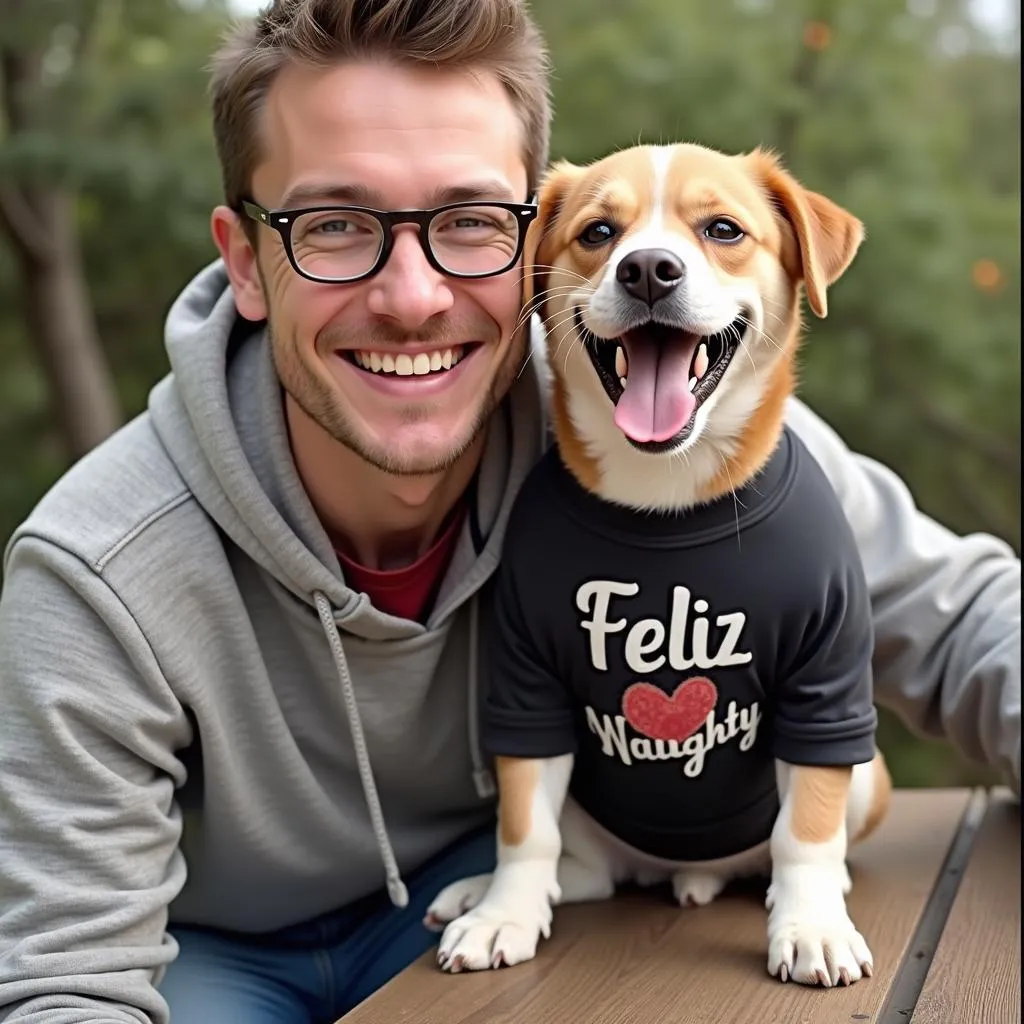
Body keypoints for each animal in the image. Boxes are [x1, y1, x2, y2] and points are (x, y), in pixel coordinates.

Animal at [423, 142, 888, 983]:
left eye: (723, 229)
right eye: (598, 232)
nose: (647, 271)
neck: (664, 493)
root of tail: (679, 869)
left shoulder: (827, 682)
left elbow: (805, 829)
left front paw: (811, 925)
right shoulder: (527, 687)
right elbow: (524, 828)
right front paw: (504, 912)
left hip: (868, 774)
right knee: (584, 866)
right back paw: (488, 890)